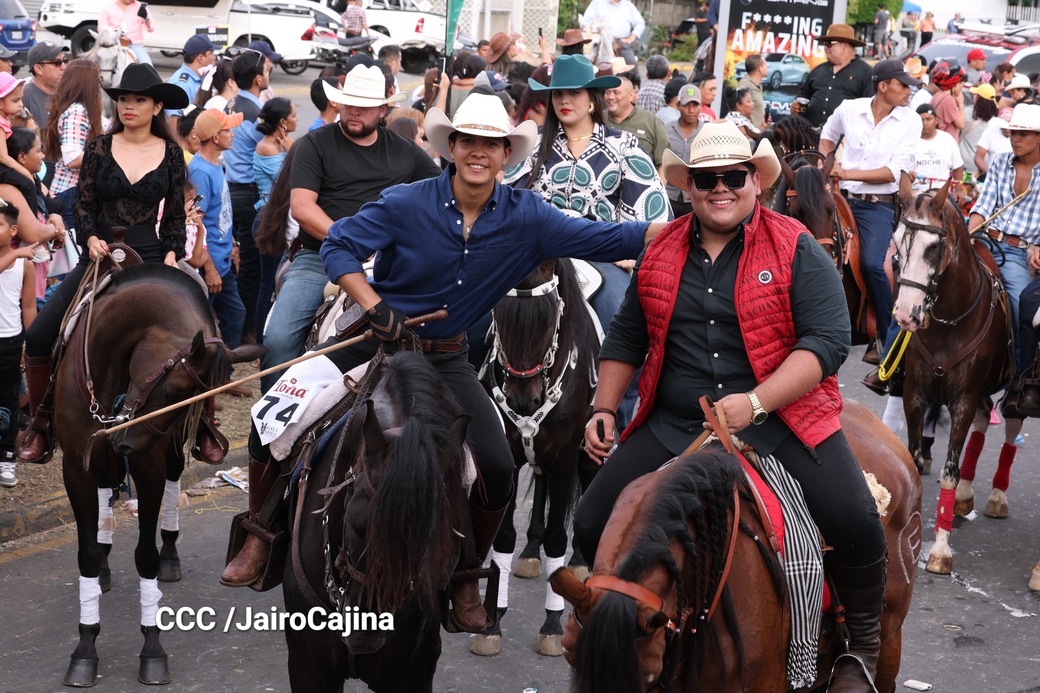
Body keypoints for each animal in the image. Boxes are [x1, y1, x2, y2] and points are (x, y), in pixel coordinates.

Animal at [54, 263, 262, 686]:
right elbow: (86, 555)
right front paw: (85, 648)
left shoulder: (149, 465)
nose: (127, 444)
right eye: (171, 389)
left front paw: (152, 647)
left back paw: (170, 554)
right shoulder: (76, 467)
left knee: (170, 487)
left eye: (196, 406)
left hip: (165, 455)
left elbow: (146, 556)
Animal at [471, 258, 600, 658]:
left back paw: (579, 564)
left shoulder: (566, 455)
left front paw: (552, 624)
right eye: (497, 314)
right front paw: (492, 623)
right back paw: (530, 550)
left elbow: (559, 537)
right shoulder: (510, 455)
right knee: (540, 479)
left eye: (548, 317)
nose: (521, 400)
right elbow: (502, 539)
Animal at [892, 176, 1013, 575]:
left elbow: (948, 469)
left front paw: (940, 549)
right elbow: (914, 462)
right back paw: (965, 496)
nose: (906, 314)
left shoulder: (962, 399)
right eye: (897, 241)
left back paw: (996, 495)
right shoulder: (915, 394)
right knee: (984, 418)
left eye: (933, 247)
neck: (950, 322)